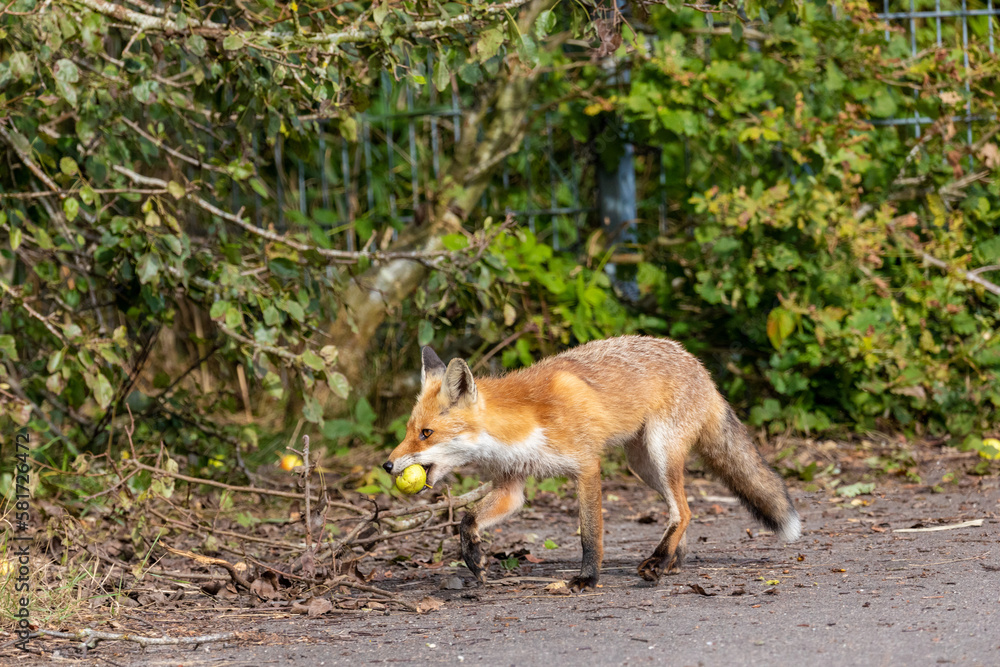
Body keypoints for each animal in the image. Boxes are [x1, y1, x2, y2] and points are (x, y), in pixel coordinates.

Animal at [383, 336, 800, 591]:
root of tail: (701, 368)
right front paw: (473, 557)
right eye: (409, 431)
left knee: (684, 510)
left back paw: (658, 562)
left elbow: (589, 534)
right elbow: (467, 518)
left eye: (426, 433)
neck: (525, 422)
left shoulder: (586, 466)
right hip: (643, 465)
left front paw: (588, 579)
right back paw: (670, 560)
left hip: (661, 453)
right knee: (681, 511)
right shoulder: (511, 485)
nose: (387, 466)